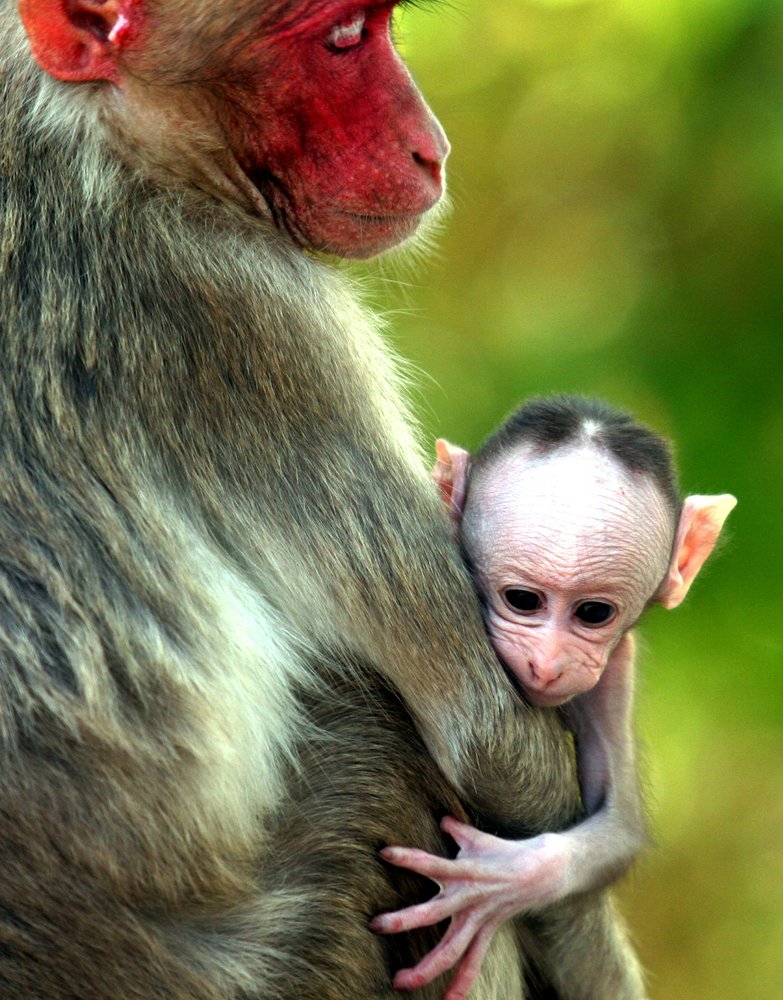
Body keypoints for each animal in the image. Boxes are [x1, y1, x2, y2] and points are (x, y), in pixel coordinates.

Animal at [372, 395, 736, 1000]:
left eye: (594, 612)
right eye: (523, 600)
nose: (546, 664)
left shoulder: (613, 667)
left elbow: (621, 824)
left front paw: (502, 883)